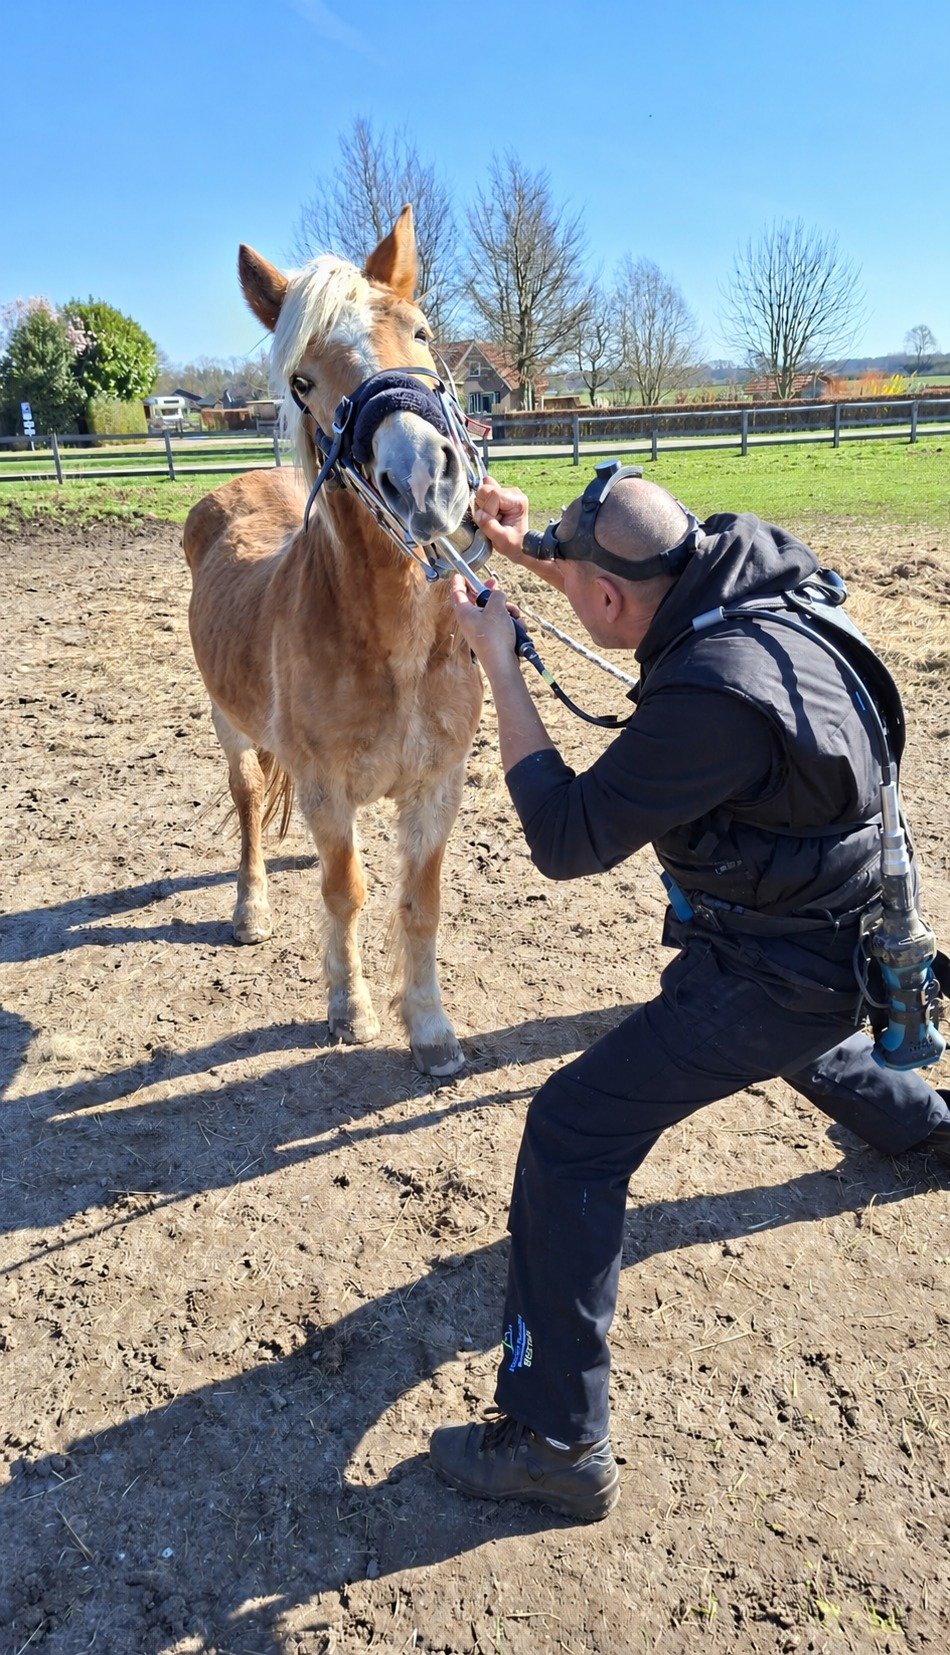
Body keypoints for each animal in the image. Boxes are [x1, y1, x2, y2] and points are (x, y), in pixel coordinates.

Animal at [183, 207, 483, 1077]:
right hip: (228, 725)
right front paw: (351, 1009)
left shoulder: (436, 786)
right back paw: (251, 906)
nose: (423, 479)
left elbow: (420, 902)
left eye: (421, 332)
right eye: (302, 382)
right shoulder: (325, 788)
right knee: (250, 803)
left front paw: (431, 1028)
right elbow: (344, 892)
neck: (395, 645)